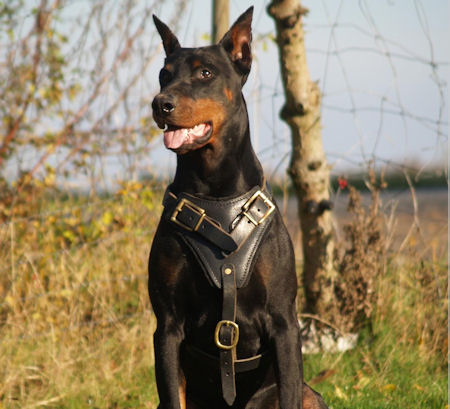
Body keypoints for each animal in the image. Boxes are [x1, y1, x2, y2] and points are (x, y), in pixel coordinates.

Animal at [149, 6, 328, 408]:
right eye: (164, 74)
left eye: (205, 73)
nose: (160, 104)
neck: (215, 195)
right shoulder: (166, 325)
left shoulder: (284, 322)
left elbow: (289, 391)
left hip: (311, 394)